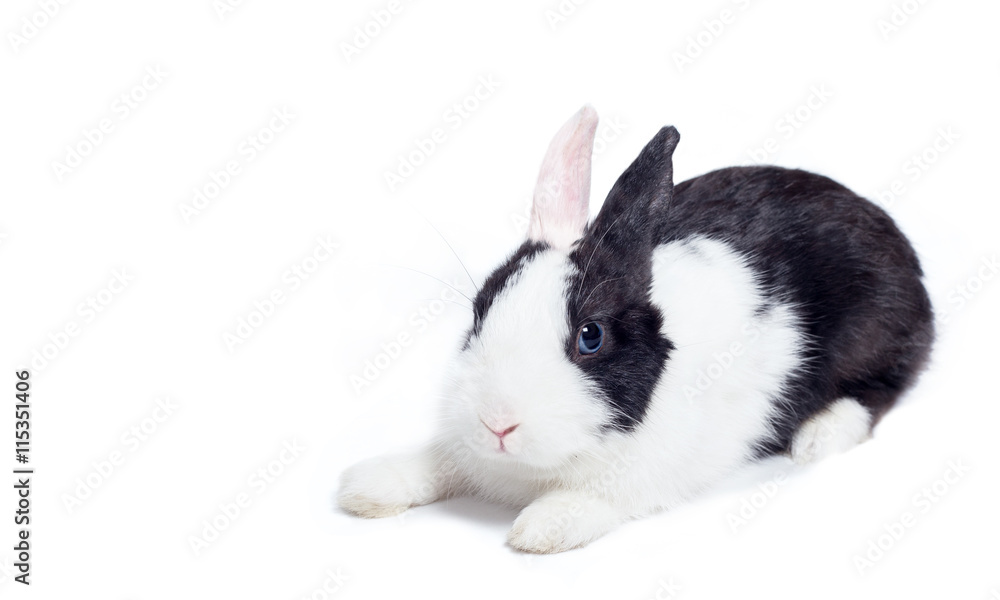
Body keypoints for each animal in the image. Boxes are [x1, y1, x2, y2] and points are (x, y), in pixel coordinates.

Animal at [340, 105, 932, 552]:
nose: (497, 424)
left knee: (883, 387)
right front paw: (367, 487)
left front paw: (543, 526)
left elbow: (604, 497)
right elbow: (439, 460)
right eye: (480, 310)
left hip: (875, 335)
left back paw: (820, 436)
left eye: (591, 336)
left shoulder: (649, 474)